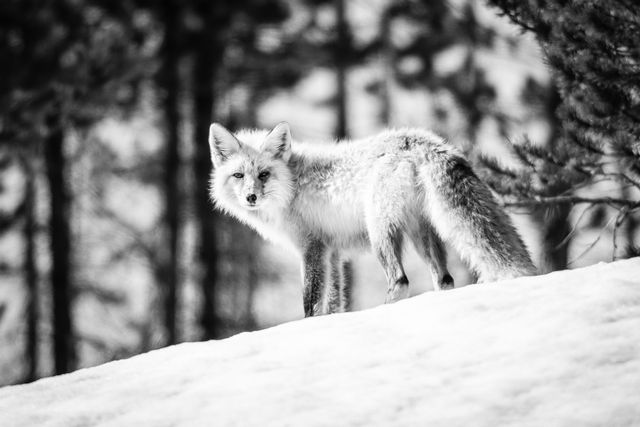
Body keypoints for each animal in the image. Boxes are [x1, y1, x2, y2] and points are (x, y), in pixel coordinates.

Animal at [208, 122, 536, 316]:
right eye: (239, 176)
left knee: (401, 281)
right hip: (421, 232)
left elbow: (311, 303)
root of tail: (421, 140)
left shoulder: (312, 248)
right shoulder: (333, 253)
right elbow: (334, 301)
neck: (292, 186)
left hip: (380, 230)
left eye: (264, 174)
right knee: (444, 279)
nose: (251, 197)